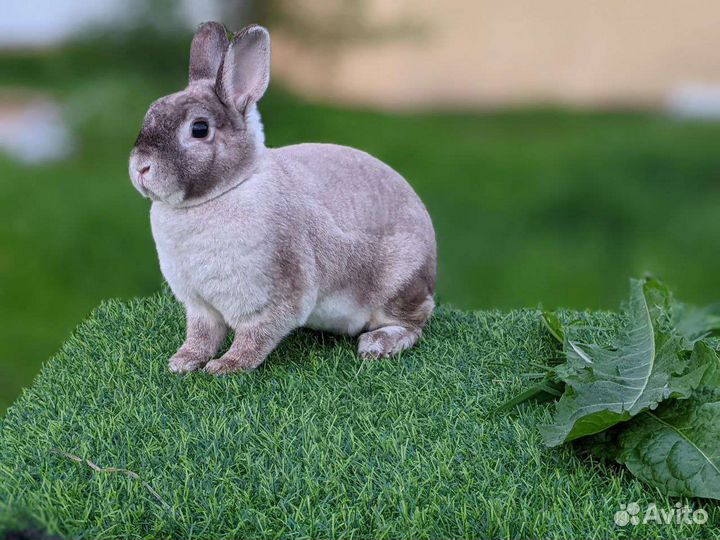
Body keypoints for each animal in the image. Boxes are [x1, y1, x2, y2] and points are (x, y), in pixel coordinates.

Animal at [128, 22, 436, 374]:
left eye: (199, 129)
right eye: (151, 113)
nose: (141, 167)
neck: (227, 189)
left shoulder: (273, 297)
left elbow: (254, 337)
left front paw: (226, 367)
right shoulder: (200, 306)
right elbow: (202, 335)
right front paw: (182, 362)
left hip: (398, 284)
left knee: (413, 323)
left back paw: (377, 344)